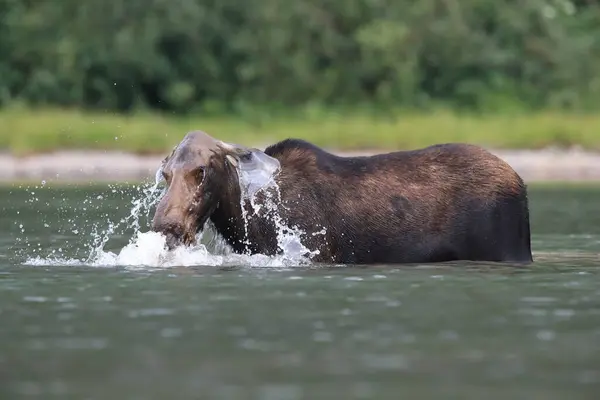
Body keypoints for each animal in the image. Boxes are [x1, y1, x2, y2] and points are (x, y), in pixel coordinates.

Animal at [152, 130, 532, 264]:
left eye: (201, 170)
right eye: (166, 172)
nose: (166, 224)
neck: (250, 226)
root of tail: (521, 183)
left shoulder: (316, 252)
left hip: (508, 247)